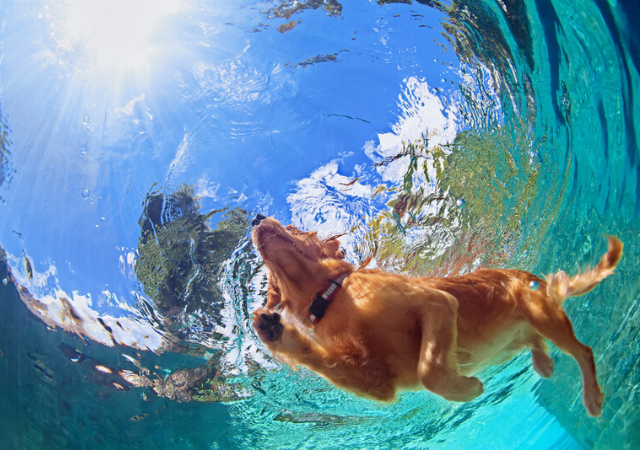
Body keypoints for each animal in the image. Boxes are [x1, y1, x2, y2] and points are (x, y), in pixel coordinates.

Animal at [250, 216, 620, 416]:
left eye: (293, 226)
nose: (256, 218)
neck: (331, 296)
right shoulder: (379, 381)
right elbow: (327, 361)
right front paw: (274, 332)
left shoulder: (437, 303)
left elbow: (429, 370)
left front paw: (466, 389)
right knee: (537, 342)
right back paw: (544, 363)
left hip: (542, 314)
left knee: (584, 351)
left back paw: (592, 396)